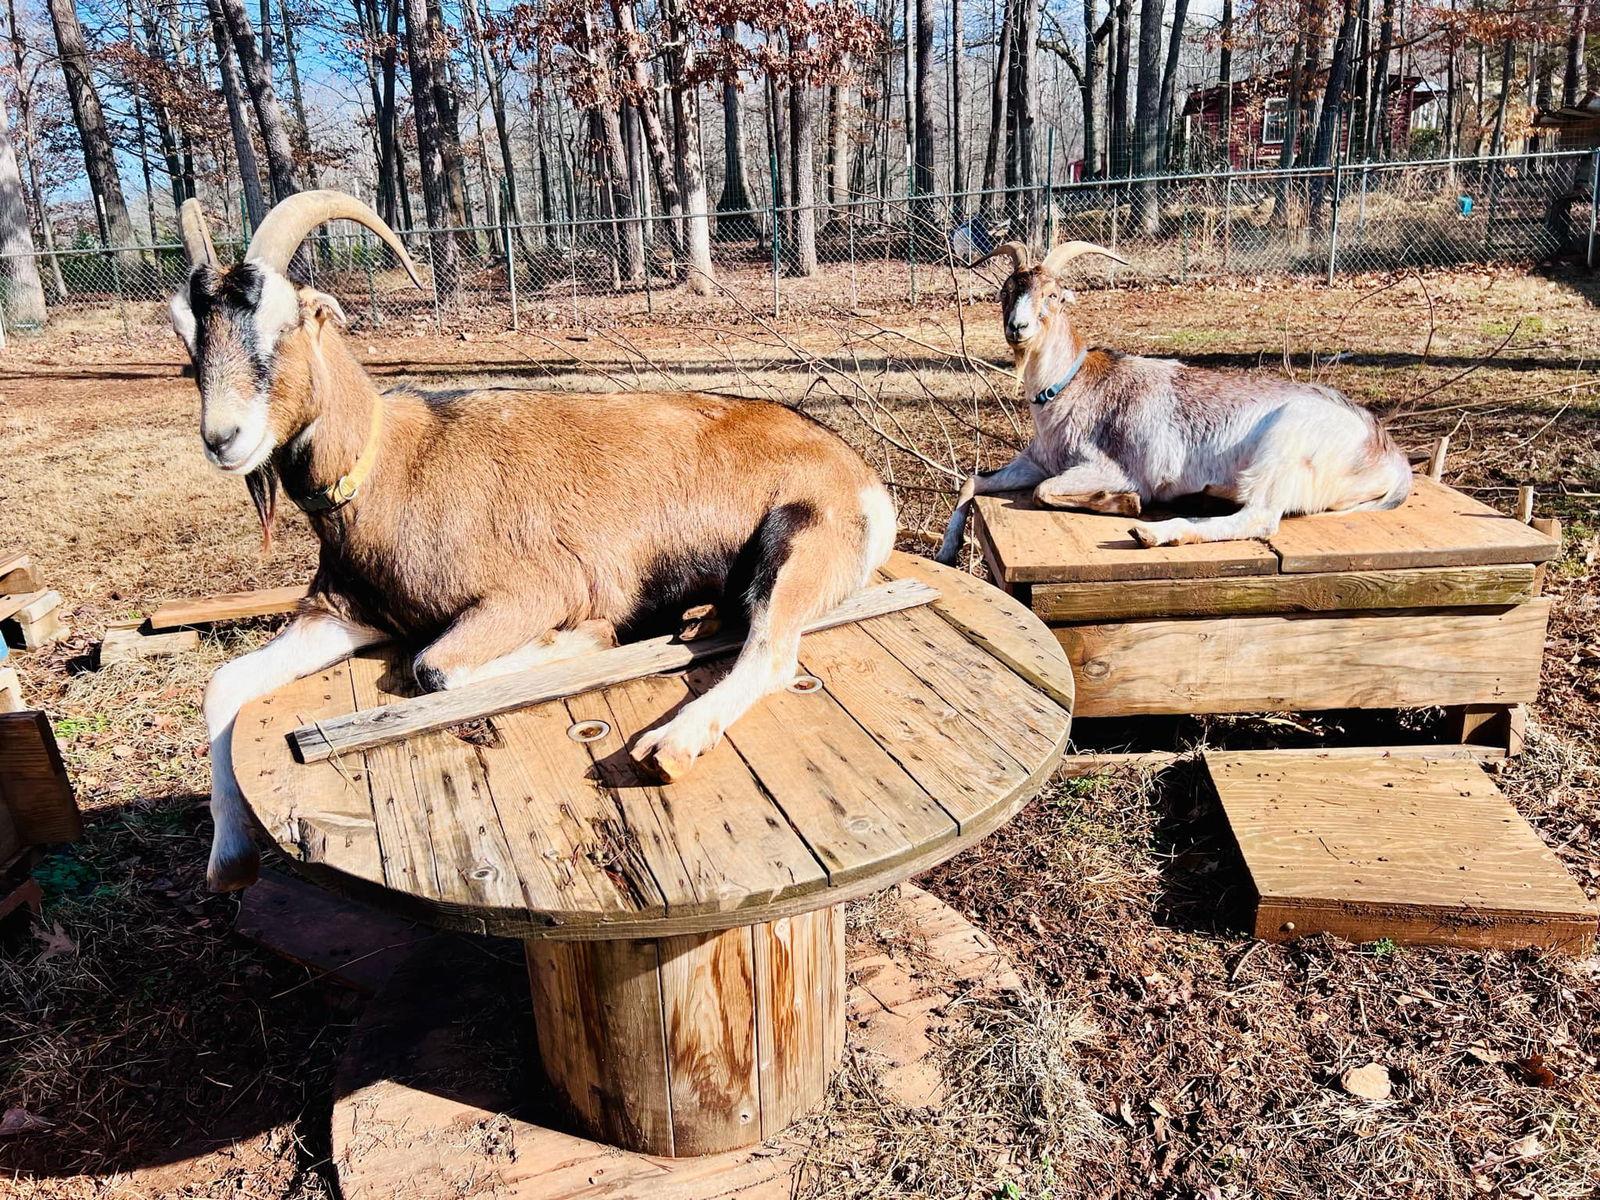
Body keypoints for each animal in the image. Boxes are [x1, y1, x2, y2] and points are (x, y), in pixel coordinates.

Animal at [169, 191, 898, 892]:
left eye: (287, 321)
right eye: (188, 338)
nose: (223, 439)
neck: (392, 466)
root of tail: (861, 474)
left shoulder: (532, 593)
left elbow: (432, 667)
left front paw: (592, 638)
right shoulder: (341, 613)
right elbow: (223, 684)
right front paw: (228, 865)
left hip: (798, 542)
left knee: (772, 654)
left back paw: (668, 746)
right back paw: (697, 619)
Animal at [936, 240, 1412, 563]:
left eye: (1053, 295)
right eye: (1006, 292)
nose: (1017, 328)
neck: (1069, 389)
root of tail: (1390, 456)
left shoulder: (1113, 467)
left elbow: (1042, 492)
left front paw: (1125, 503)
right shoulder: (1037, 460)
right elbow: (972, 481)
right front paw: (946, 551)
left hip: (1286, 443)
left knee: (1260, 517)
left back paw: (1157, 533)